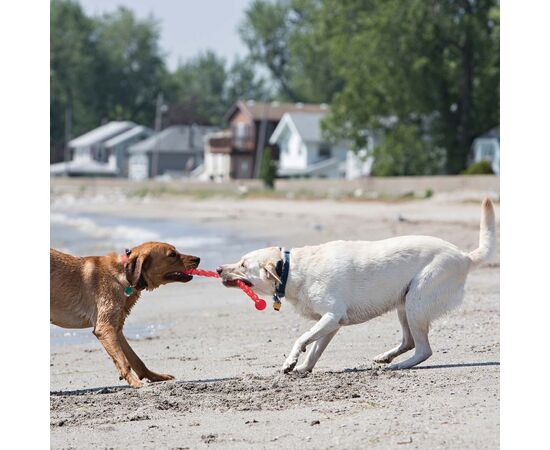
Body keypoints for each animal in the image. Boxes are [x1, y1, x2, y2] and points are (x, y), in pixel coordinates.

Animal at [50, 243, 202, 386]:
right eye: (172, 254)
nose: (198, 259)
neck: (123, 274)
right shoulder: (105, 328)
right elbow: (123, 361)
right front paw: (135, 382)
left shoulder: (116, 329)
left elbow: (135, 360)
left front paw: (154, 376)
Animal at [218, 200, 498, 372]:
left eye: (242, 264)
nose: (219, 268)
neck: (291, 269)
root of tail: (464, 256)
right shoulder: (332, 323)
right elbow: (315, 349)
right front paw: (303, 368)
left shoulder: (331, 316)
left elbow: (302, 339)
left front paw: (290, 362)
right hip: (404, 305)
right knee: (409, 342)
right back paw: (387, 357)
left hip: (416, 302)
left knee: (423, 349)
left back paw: (399, 365)